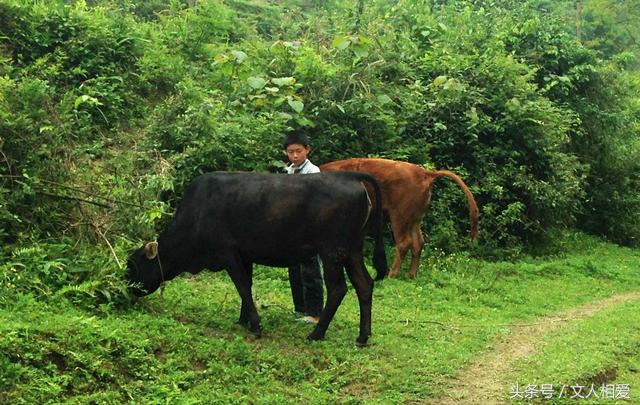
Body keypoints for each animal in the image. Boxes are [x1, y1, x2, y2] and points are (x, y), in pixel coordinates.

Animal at [124, 170, 384, 344]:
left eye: (133, 266)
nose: (127, 291)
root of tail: (348, 176)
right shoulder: (244, 255)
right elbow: (246, 286)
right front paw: (244, 321)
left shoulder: (228, 252)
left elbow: (241, 286)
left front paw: (256, 325)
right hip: (352, 250)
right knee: (364, 284)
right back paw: (363, 336)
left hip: (331, 251)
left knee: (338, 288)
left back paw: (317, 333)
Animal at [322, 158, 478, 278]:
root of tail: (425, 173)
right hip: (415, 218)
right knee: (418, 242)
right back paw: (411, 275)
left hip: (399, 216)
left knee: (404, 243)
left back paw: (392, 274)